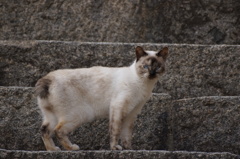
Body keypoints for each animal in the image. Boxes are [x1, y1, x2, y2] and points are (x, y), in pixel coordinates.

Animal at [35, 45, 169, 150]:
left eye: (157, 67)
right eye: (145, 67)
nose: (152, 74)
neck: (145, 85)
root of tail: (47, 79)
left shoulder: (131, 114)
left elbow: (127, 135)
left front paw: (129, 149)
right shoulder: (118, 107)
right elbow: (116, 131)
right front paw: (115, 148)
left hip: (51, 115)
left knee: (44, 130)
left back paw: (53, 149)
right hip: (80, 114)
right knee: (58, 130)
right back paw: (72, 148)